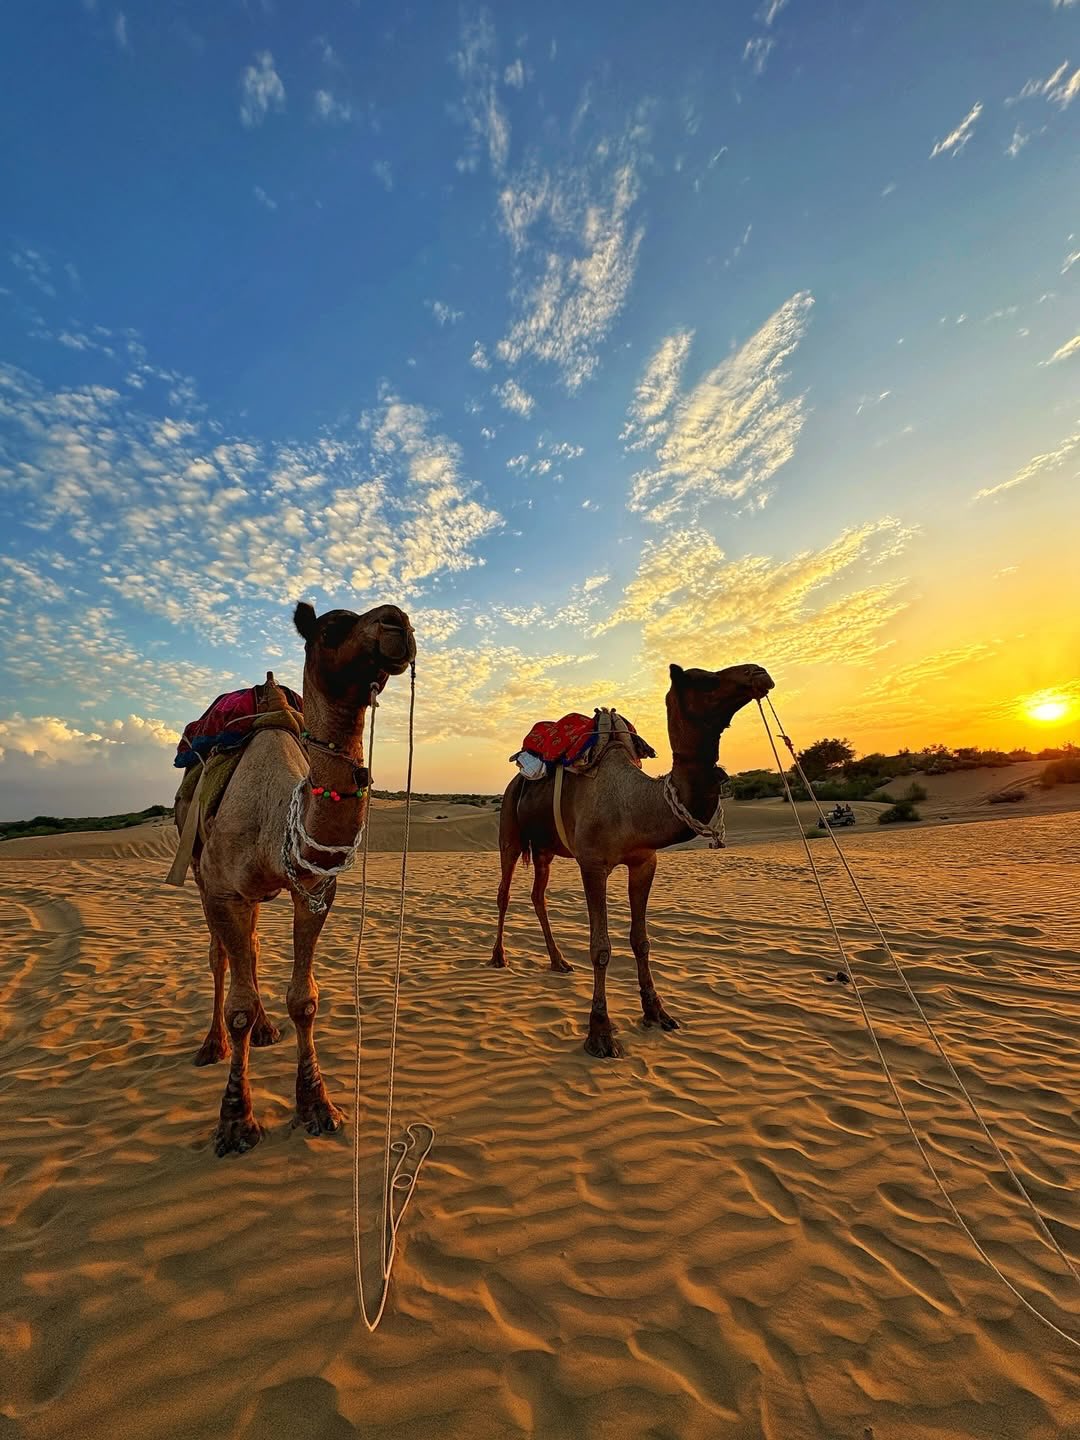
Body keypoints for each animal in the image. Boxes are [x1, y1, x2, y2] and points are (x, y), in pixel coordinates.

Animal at [175, 602, 415, 1156]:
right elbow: (237, 1002)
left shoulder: (314, 890)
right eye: (330, 628)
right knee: (221, 959)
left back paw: (266, 1031)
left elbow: (304, 1000)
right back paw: (214, 1045)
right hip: (202, 877)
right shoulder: (224, 891)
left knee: (252, 950)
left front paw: (317, 1107)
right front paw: (236, 1122)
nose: (397, 621)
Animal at [490, 662, 774, 1058]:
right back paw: (498, 957)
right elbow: (600, 948)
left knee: (537, 895)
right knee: (504, 892)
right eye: (704, 678)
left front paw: (657, 1012)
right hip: (510, 829)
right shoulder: (593, 864)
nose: (758, 672)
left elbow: (641, 940)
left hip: (545, 848)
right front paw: (600, 1033)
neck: (633, 804)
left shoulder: (644, 862)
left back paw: (559, 961)